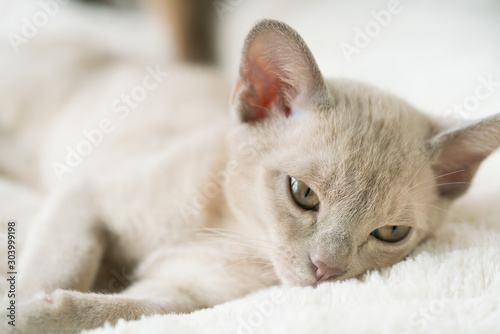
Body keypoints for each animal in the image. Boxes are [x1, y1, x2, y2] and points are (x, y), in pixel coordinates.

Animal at [0, 18, 500, 334]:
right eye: (303, 194)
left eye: (391, 232)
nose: (326, 270)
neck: (234, 230)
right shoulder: (84, 197)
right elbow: (54, 268)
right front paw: (24, 309)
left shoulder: (180, 293)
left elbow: (111, 310)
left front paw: (41, 313)